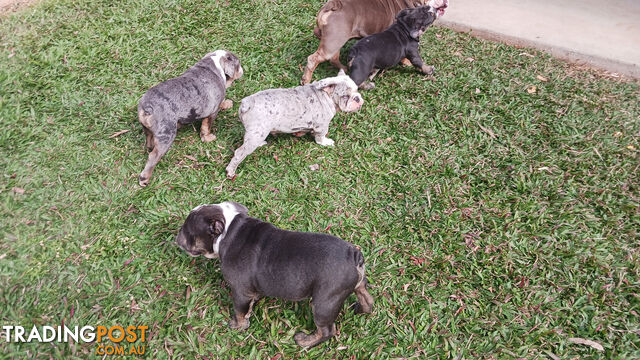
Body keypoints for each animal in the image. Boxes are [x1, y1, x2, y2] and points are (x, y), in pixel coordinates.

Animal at [137, 51, 242, 188]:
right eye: (238, 65)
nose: (242, 70)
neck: (214, 65)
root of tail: (148, 107)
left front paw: (227, 104)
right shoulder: (212, 113)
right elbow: (206, 127)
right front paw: (208, 138)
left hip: (148, 129)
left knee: (149, 140)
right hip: (166, 135)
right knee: (153, 156)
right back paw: (144, 179)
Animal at [175, 201, 376, 348]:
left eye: (187, 230)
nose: (177, 236)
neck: (229, 231)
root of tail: (354, 255)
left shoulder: (240, 291)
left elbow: (239, 311)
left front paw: (238, 326)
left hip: (324, 303)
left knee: (326, 330)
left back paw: (305, 341)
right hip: (356, 285)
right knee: (367, 299)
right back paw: (359, 309)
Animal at [226, 69, 364, 178]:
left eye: (357, 90)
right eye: (345, 96)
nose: (357, 98)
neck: (326, 95)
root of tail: (247, 102)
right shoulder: (322, 126)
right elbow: (320, 137)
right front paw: (326, 142)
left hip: (256, 133)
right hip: (256, 134)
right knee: (239, 153)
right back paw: (231, 171)